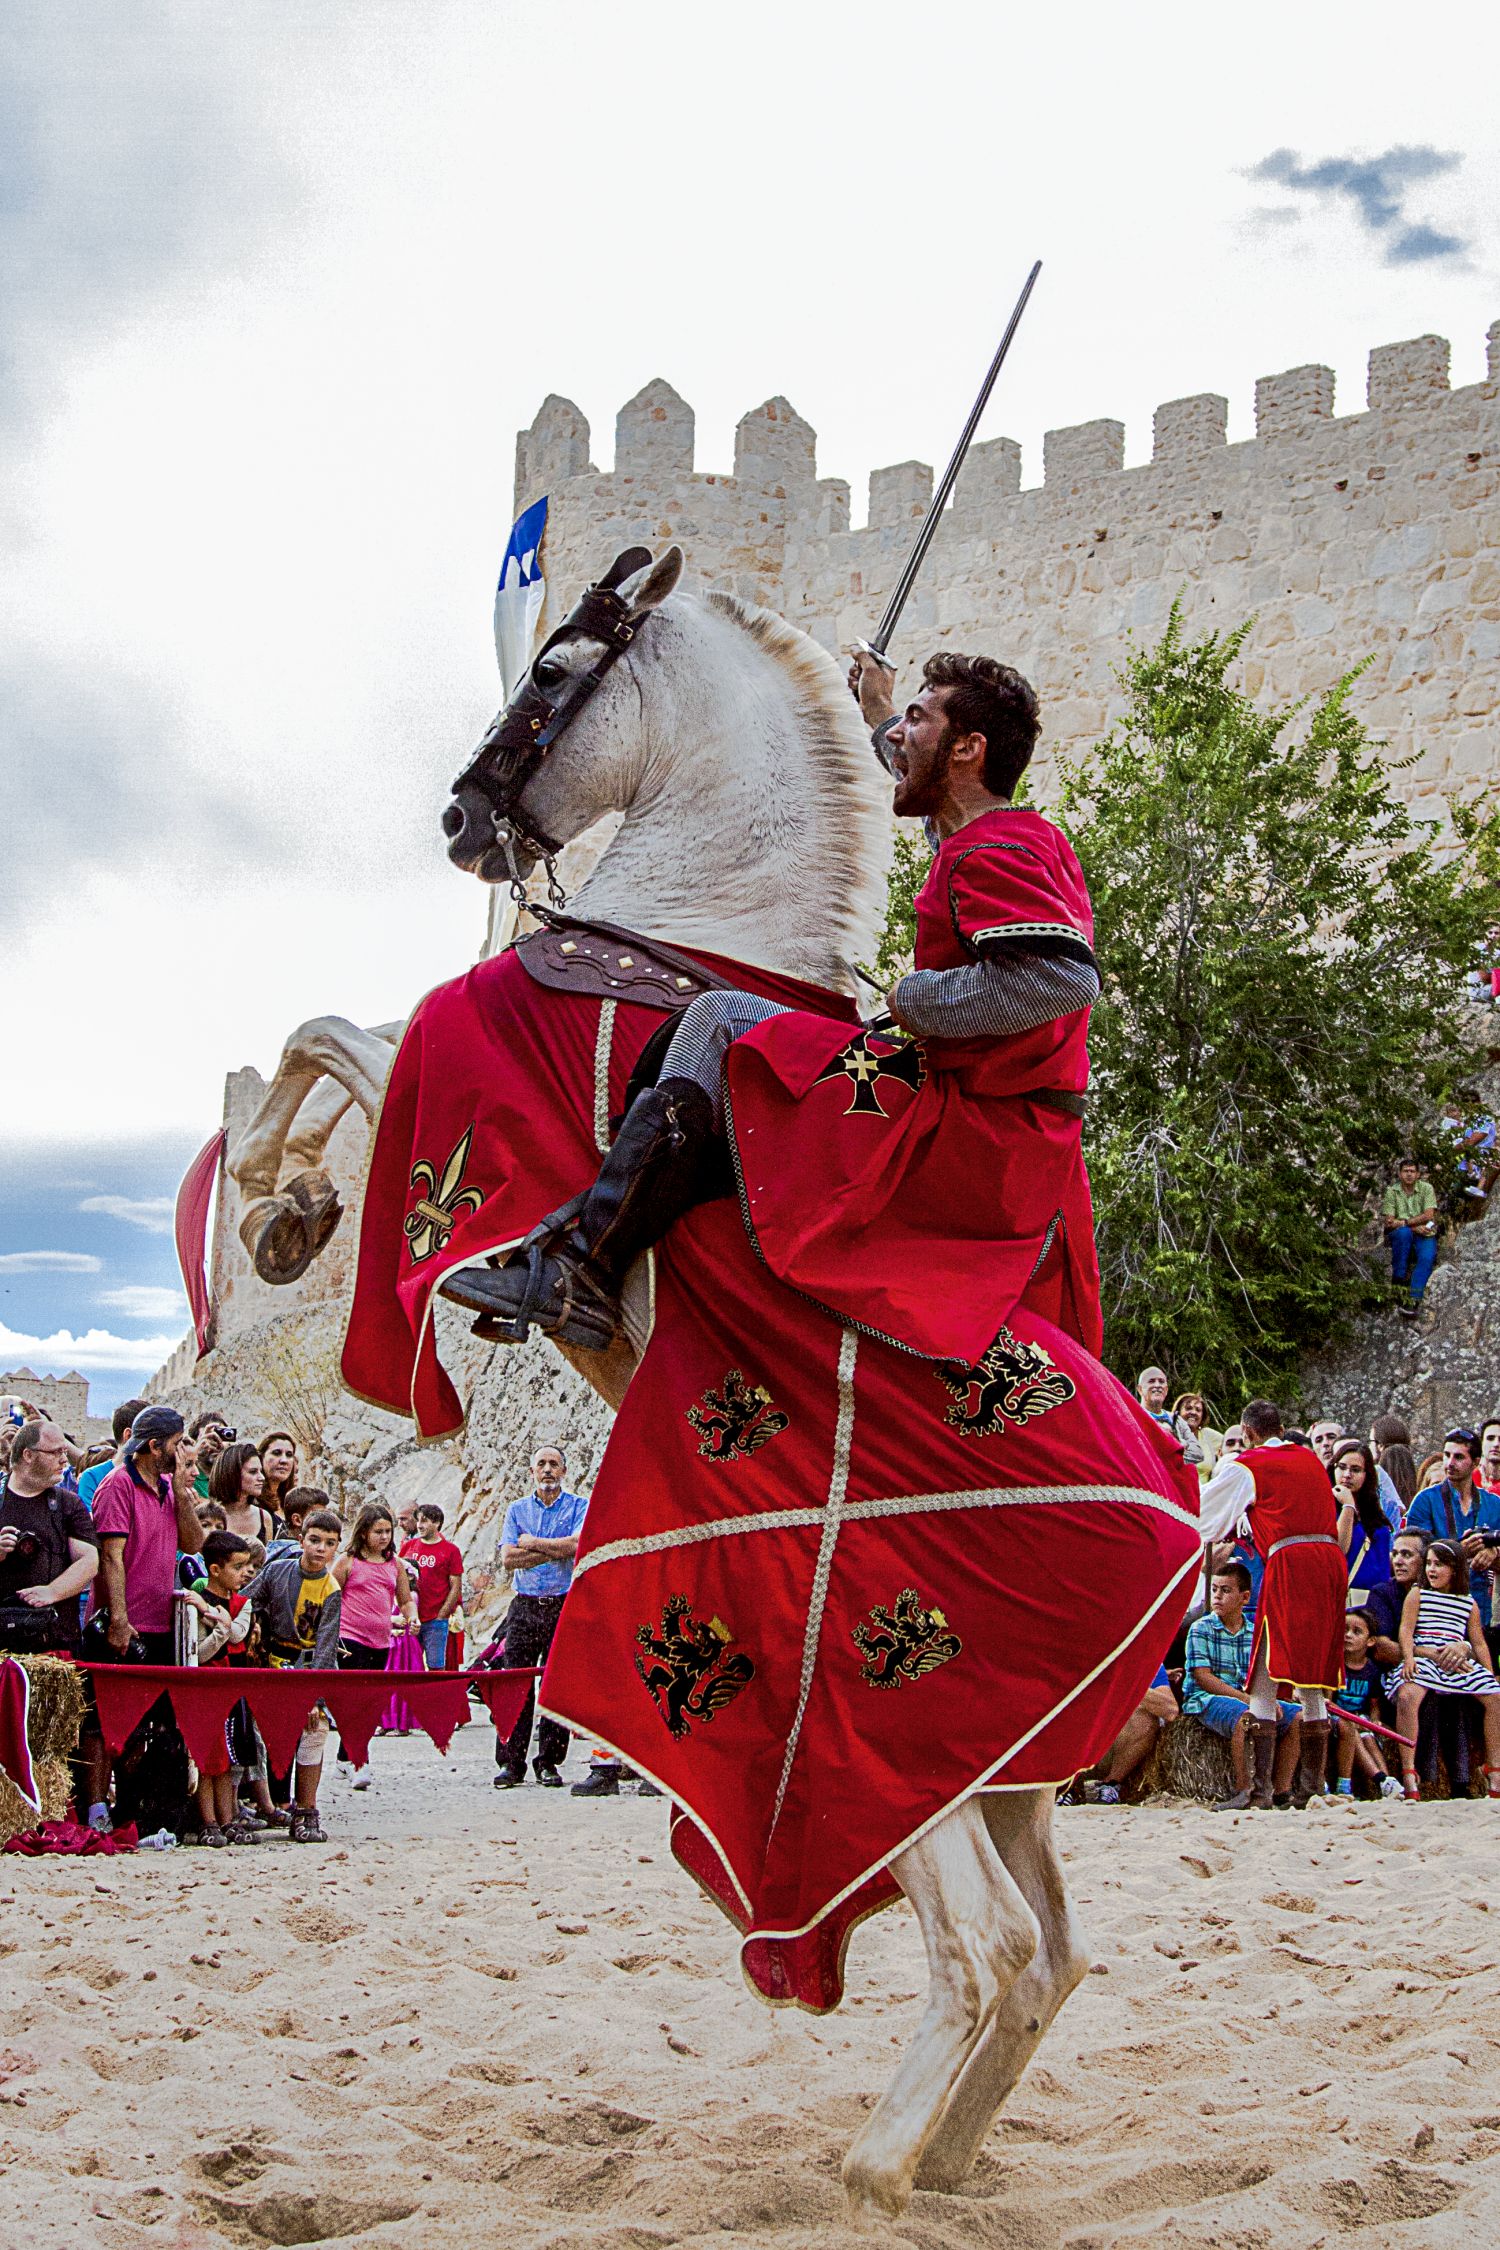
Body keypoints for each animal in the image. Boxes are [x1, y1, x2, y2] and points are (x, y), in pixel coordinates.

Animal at [434, 544, 1092, 2214]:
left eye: (552, 673)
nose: (461, 818)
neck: (696, 926)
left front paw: (505, 1269)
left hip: (905, 1768)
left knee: (988, 1947)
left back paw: (876, 2172)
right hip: (1013, 1772)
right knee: (1053, 1955)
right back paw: (950, 2163)